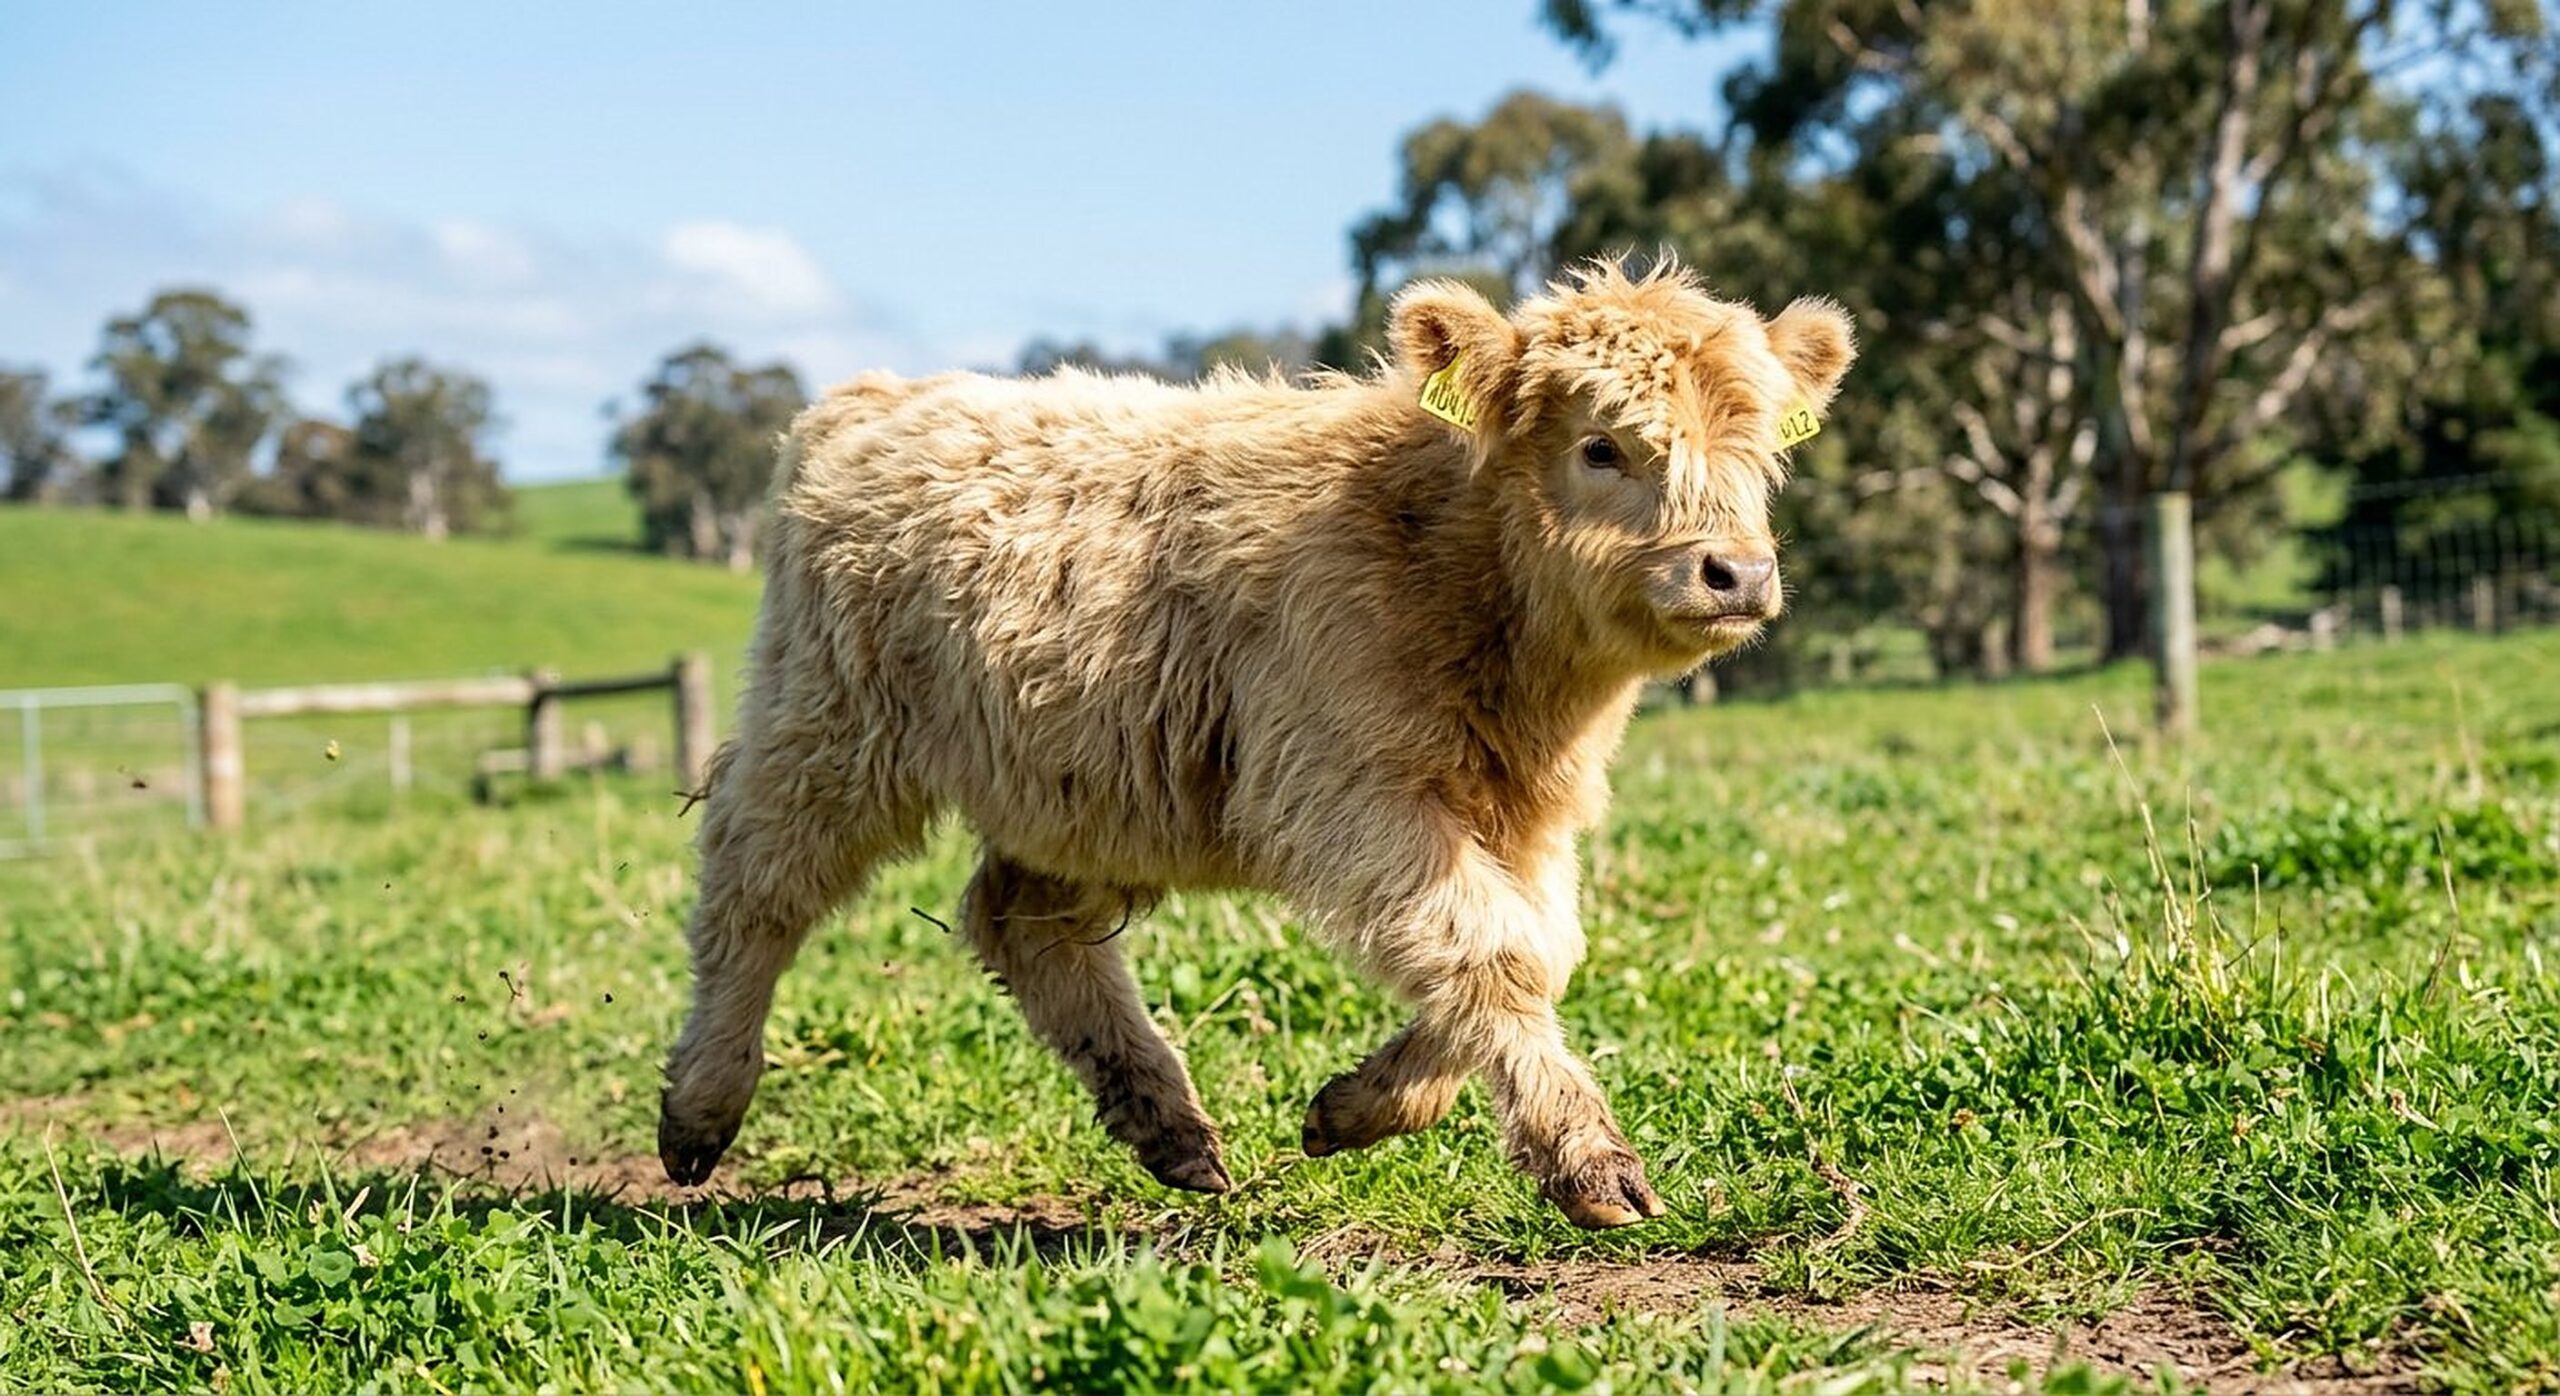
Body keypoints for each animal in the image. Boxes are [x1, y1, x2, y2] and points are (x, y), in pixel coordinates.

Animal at [657, 259, 1854, 1228]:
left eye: (1757, 453)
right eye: (1601, 446)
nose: (1736, 572)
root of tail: (874, 395)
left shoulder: (1526, 813)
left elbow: (1535, 951)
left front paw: (1361, 1105)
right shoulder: (1354, 791)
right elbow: (1490, 949)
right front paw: (1590, 1161)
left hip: (1076, 784)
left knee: (1016, 918)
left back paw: (1169, 1125)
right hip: (825, 732)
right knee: (752, 890)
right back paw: (700, 1110)